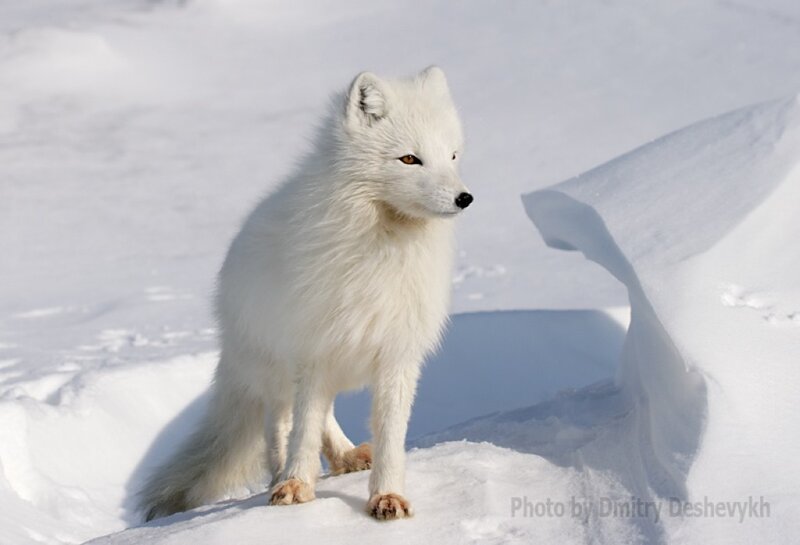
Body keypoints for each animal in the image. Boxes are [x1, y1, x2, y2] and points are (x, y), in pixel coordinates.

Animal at [138, 66, 471, 522]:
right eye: (409, 159)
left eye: (452, 156)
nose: (464, 198)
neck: (381, 247)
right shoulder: (314, 350)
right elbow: (303, 429)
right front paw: (296, 484)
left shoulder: (396, 354)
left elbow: (389, 436)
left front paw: (387, 496)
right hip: (276, 367)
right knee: (279, 424)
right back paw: (282, 476)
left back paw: (347, 456)